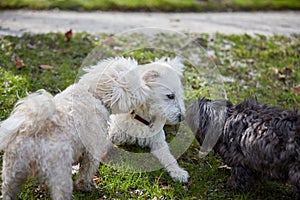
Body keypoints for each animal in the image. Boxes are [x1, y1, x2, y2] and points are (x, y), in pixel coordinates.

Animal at [0, 57, 173, 199]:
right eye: (138, 86)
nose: (147, 88)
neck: (93, 94)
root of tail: (32, 130)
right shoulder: (93, 150)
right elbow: (87, 171)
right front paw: (86, 186)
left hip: (12, 171)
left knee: (7, 191)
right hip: (59, 175)